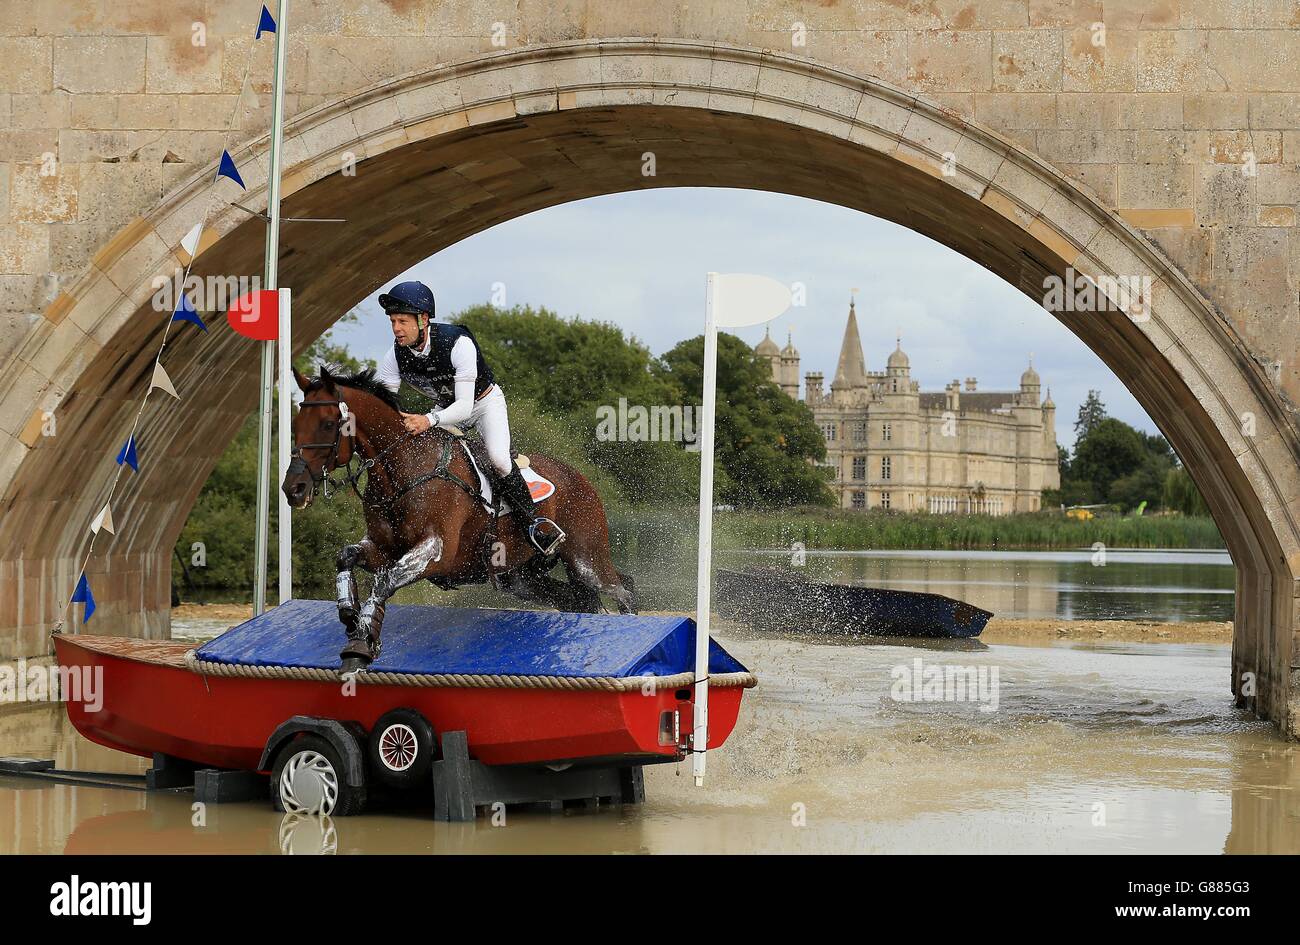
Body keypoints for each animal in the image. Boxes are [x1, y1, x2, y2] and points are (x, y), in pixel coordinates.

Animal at [282, 366, 637, 675]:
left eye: (328, 424)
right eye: (296, 424)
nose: (292, 489)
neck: (401, 468)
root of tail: (582, 479)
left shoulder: (435, 552)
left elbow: (384, 581)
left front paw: (359, 646)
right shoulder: (382, 549)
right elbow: (345, 557)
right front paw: (350, 616)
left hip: (585, 559)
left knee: (622, 589)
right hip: (521, 578)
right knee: (579, 600)